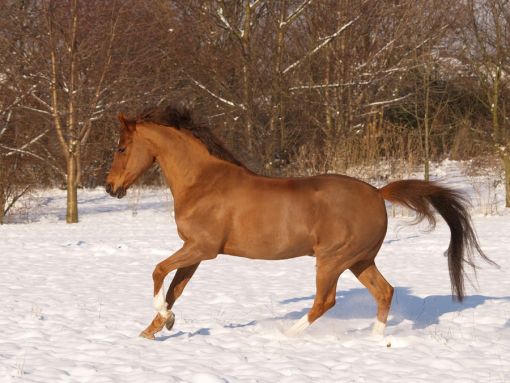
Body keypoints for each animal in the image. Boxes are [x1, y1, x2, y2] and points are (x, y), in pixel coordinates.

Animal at [105, 104, 496, 340]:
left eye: (121, 148)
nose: (111, 188)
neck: (202, 182)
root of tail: (378, 193)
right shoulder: (196, 252)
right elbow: (175, 288)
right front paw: (154, 329)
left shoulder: (202, 248)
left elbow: (158, 271)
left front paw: (161, 321)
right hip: (360, 260)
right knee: (384, 292)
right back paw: (375, 340)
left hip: (333, 260)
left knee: (326, 301)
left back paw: (288, 336)